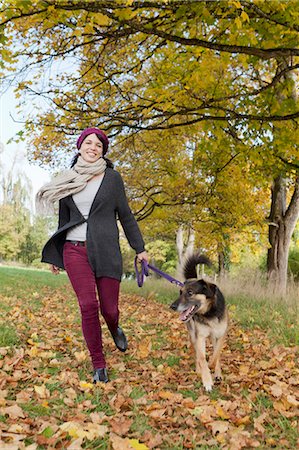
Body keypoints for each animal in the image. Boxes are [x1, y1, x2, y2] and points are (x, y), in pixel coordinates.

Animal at [171, 255, 230, 392]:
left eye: (190, 292)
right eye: (180, 292)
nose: (172, 306)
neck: (209, 313)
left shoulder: (220, 335)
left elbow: (216, 356)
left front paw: (214, 369)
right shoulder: (200, 337)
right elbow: (202, 358)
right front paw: (207, 380)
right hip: (193, 334)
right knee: (197, 354)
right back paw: (199, 370)